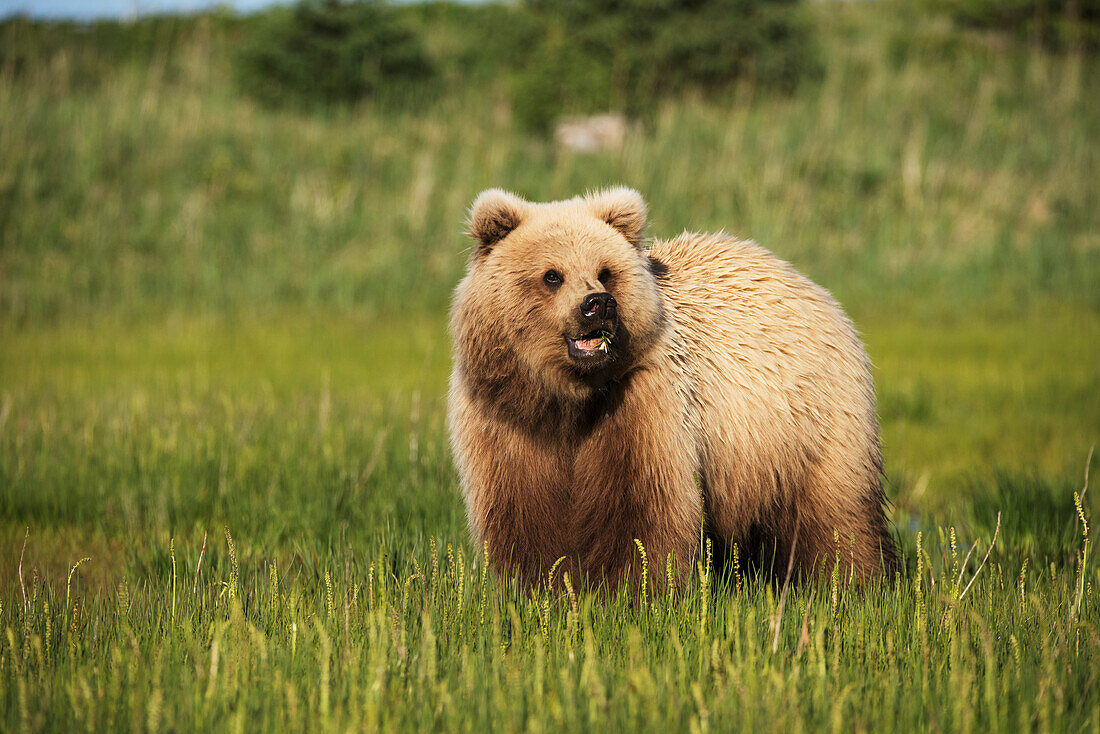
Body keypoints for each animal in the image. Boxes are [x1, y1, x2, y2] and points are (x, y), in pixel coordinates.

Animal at [446, 187, 893, 589]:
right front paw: (538, 589)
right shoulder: (506, 419)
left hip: (810, 423)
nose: (597, 304)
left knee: (835, 516)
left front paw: (631, 591)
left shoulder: (643, 405)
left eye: (605, 271)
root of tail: (813, 287)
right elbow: (523, 515)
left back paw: (853, 583)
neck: (569, 401)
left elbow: (641, 510)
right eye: (552, 275)